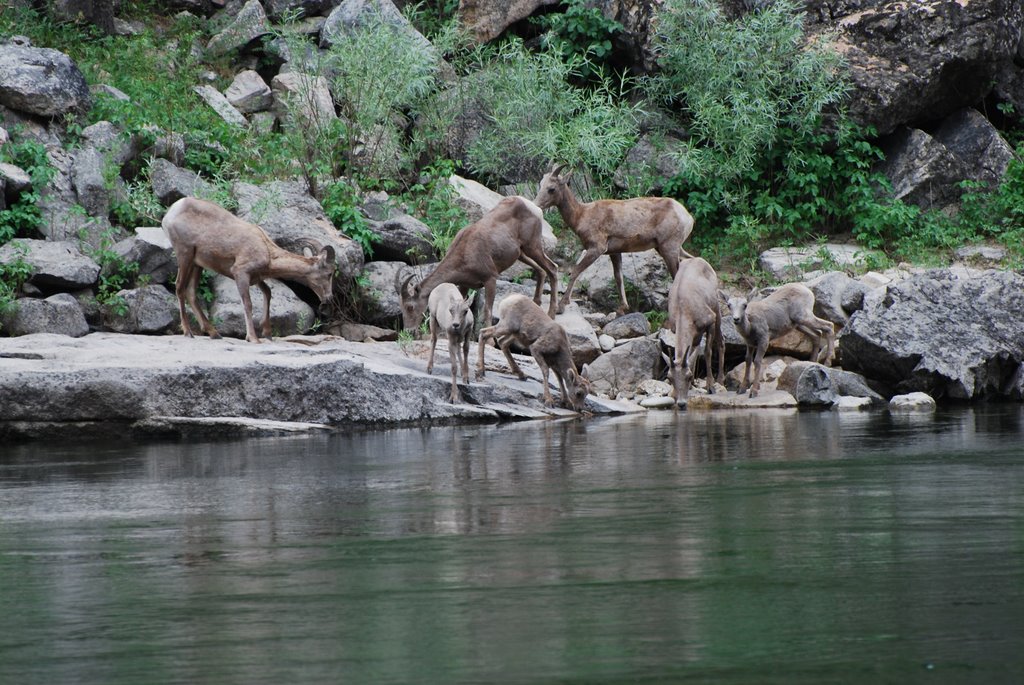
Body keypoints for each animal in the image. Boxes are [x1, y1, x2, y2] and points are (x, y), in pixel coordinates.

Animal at [160, 196, 335, 341]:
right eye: (329, 273)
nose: (329, 298)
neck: (267, 250)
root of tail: (171, 212)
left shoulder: (256, 278)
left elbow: (268, 293)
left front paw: (267, 333)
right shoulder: (241, 273)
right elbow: (248, 304)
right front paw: (253, 338)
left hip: (197, 264)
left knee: (191, 292)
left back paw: (214, 333)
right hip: (185, 255)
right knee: (179, 287)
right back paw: (188, 332)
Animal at [397, 194, 561, 331]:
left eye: (410, 306)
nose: (409, 331)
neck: (465, 255)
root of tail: (535, 208)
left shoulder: (490, 278)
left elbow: (487, 311)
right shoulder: (464, 285)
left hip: (533, 246)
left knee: (552, 268)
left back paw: (552, 313)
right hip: (521, 253)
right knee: (541, 270)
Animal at [536, 163, 696, 313]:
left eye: (551, 189)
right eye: (540, 184)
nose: (536, 205)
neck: (582, 215)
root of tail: (687, 217)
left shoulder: (597, 248)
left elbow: (575, 271)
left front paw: (561, 307)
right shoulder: (614, 252)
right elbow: (618, 277)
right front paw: (623, 308)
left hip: (668, 248)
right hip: (672, 248)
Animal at [663, 258, 729, 405]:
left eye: (687, 376)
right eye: (670, 378)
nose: (681, 402)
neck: (683, 309)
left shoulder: (710, 321)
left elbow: (707, 352)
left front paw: (710, 386)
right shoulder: (676, 328)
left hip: (716, 309)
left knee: (721, 341)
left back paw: (721, 381)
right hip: (697, 333)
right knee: (694, 348)